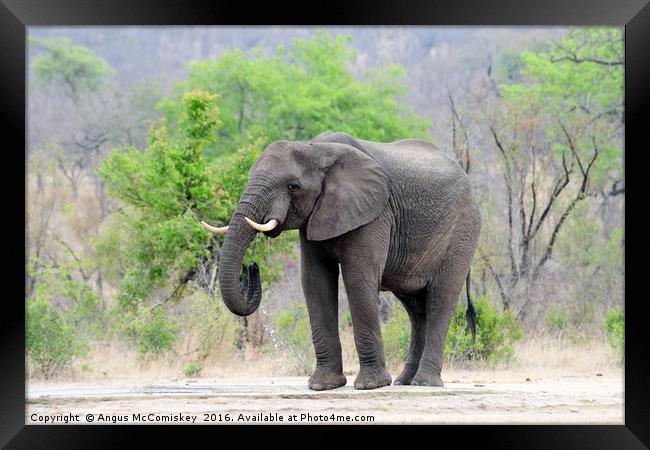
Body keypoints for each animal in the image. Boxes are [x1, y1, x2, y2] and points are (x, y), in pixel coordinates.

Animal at [202, 131, 480, 390]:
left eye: (293, 186)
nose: (253, 267)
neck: (317, 149)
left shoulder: (374, 213)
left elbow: (357, 278)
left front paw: (371, 385)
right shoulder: (315, 216)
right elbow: (314, 282)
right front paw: (323, 386)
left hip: (462, 233)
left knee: (440, 300)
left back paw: (424, 383)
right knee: (416, 309)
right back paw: (404, 381)